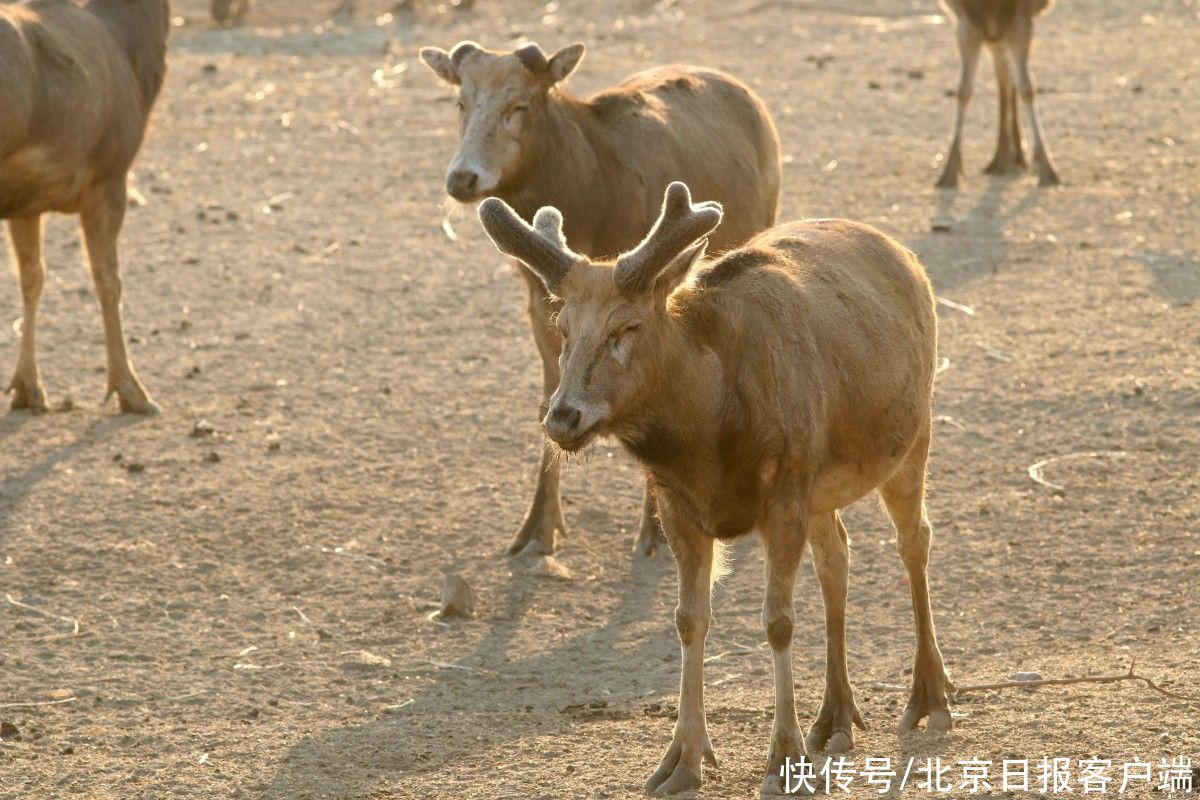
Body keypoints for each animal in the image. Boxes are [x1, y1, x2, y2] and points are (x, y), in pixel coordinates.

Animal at [1, 0, 171, 412]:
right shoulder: (109, 178)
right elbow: (109, 279)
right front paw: (132, 390)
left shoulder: (24, 202)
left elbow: (33, 275)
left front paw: (28, 388)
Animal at [417, 40, 782, 561]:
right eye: (460, 101)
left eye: (520, 106)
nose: (463, 179)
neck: (590, 201)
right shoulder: (542, 304)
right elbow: (547, 395)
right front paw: (536, 530)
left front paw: (653, 533)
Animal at [472, 184, 950, 796]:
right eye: (563, 329)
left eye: (625, 328)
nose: (562, 417)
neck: (710, 436)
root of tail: (902, 254)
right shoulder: (678, 505)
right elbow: (688, 618)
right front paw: (682, 758)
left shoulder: (784, 492)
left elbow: (778, 622)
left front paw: (783, 759)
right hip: (822, 486)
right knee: (837, 558)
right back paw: (836, 717)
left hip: (913, 433)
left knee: (915, 539)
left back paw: (930, 698)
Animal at [936, 0, 1060, 189]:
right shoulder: (966, 19)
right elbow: (963, 90)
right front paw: (949, 172)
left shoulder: (1021, 16)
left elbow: (1027, 88)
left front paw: (1047, 170)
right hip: (993, 32)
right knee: (1002, 71)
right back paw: (1004, 156)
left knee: (1009, 74)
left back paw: (1013, 156)